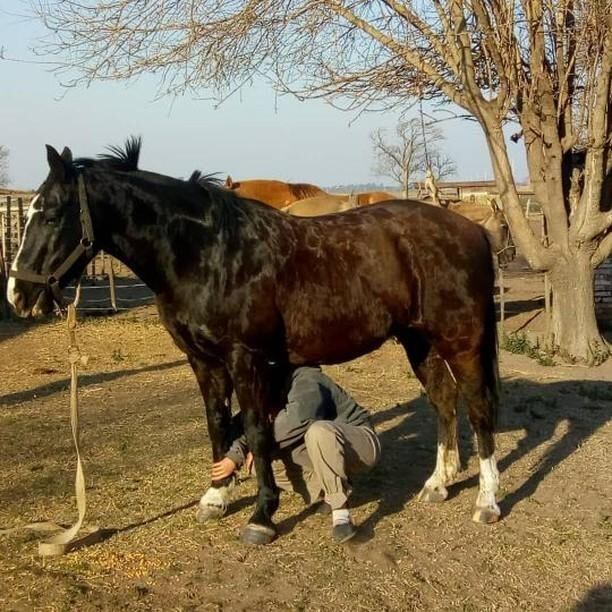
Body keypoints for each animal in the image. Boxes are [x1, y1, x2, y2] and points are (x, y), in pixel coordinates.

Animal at [7, 142, 500, 544]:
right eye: (28, 213)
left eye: (51, 214)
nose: (18, 294)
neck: (207, 254)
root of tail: (470, 229)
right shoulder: (204, 363)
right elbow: (218, 426)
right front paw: (215, 496)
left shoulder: (245, 359)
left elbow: (257, 430)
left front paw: (263, 514)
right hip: (420, 341)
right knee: (443, 402)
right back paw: (437, 485)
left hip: (461, 340)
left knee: (477, 410)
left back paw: (487, 503)